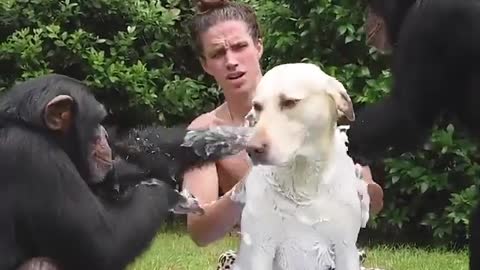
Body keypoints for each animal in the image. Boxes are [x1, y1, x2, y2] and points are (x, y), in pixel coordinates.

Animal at [0, 74, 251, 270]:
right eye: (97, 120)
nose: (104, 133)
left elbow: (132, 159)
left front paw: (226, 138)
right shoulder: (32, 154)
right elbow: (105, 244)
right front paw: (172, 196)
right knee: (43, 262)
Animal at [231, 63, 370, 270]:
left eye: (289, 102)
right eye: (257, 106)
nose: (252, 149)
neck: (302, 180)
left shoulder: (345, 248)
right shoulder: (260, 248)